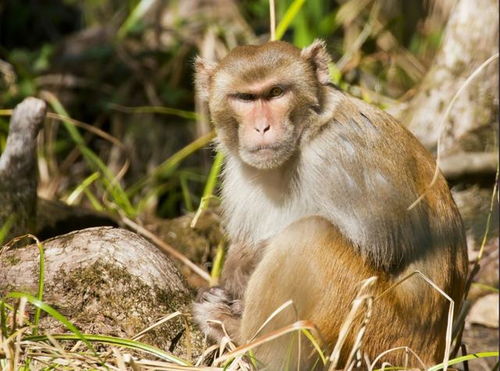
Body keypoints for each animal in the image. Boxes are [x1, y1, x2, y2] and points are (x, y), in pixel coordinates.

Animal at [191, 39, 468, 370]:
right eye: (245, 97)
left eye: (275, 92)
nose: (262, 127)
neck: (306, 133)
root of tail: (433, 354)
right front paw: (233, 272)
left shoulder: (342, 154)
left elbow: (386, 244)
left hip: (381, 337)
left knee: (309, 235)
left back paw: (238, 336)